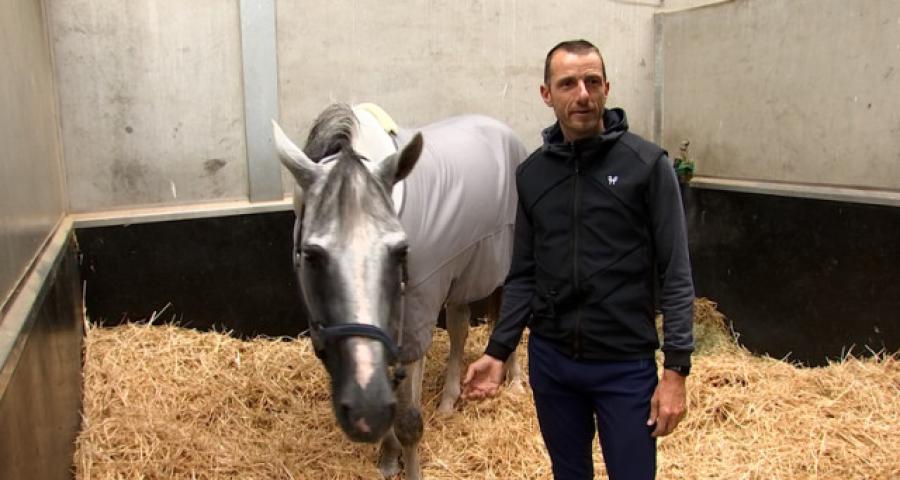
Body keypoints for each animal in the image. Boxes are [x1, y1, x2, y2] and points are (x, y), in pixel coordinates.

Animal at [272, 103, 527, 479]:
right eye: (311, 255)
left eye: (401, 251)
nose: (366, 410)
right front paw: (388, 457)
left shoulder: (413, 327)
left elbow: (408, 422)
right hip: (462, 273)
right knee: (459, 329)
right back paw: (449, 400)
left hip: (505, 267)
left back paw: (516, 383)